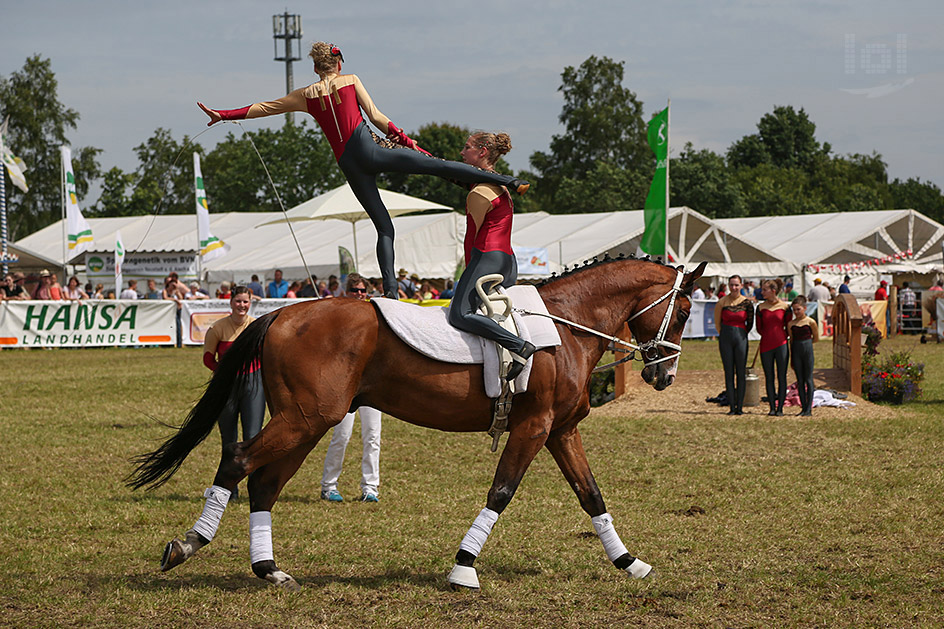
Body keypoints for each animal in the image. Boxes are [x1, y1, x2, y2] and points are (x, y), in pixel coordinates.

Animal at [131, 255, 708, 588]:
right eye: (683, 311)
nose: (664, 374)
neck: (565, 327)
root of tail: (280, 314)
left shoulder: (561, 431)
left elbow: (591, 496)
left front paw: (629, 562)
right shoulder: (534, 428)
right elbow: (501, 492)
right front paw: (463, 567)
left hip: (307, 422)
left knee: (264, 483)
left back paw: (268, 569)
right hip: (306, 419)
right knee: (237, 460)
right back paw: (188, 544)